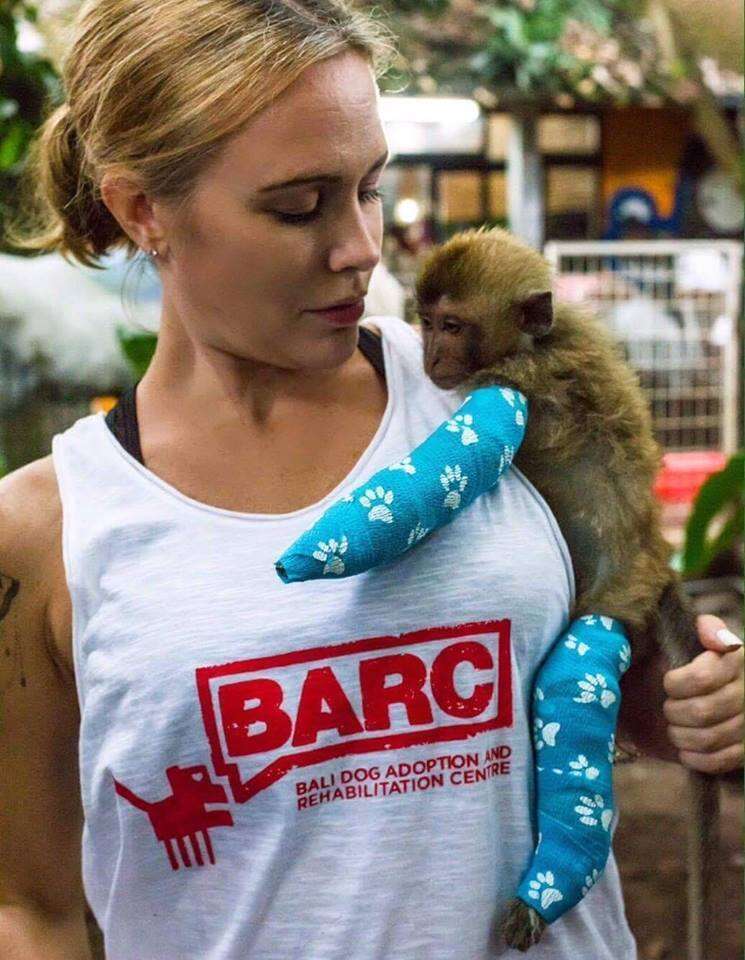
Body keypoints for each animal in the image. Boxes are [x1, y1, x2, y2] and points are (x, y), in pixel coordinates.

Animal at [414, 226, 720, 952]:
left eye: (451, 326)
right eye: (426, 320)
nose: (429, 353)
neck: (536, 341)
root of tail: (655, 561)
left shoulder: (543, 374)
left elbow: (500, 386)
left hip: (618, 602)